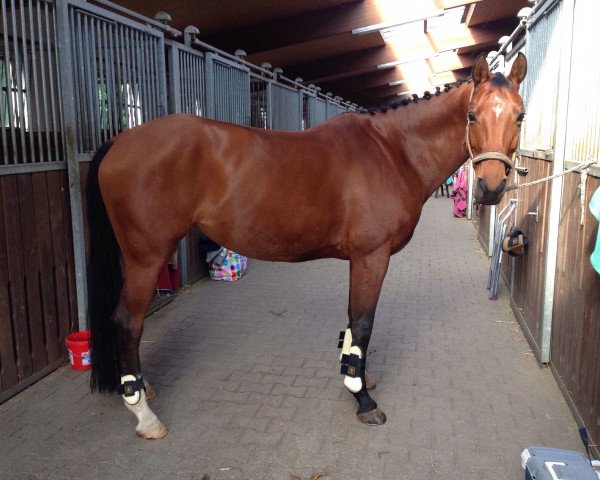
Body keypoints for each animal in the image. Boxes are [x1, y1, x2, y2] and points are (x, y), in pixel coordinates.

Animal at [88, 53, 524, 438]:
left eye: (519, 115)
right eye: (472, 115)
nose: (491, 187)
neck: (391, 151)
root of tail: (119, 141)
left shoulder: (359, 260)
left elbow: (352, 324)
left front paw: (358, 377)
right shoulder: (372, 257)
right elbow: (362, 324)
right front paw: (362, 399)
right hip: (146, 258)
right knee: (129, 321)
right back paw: (145, 415)